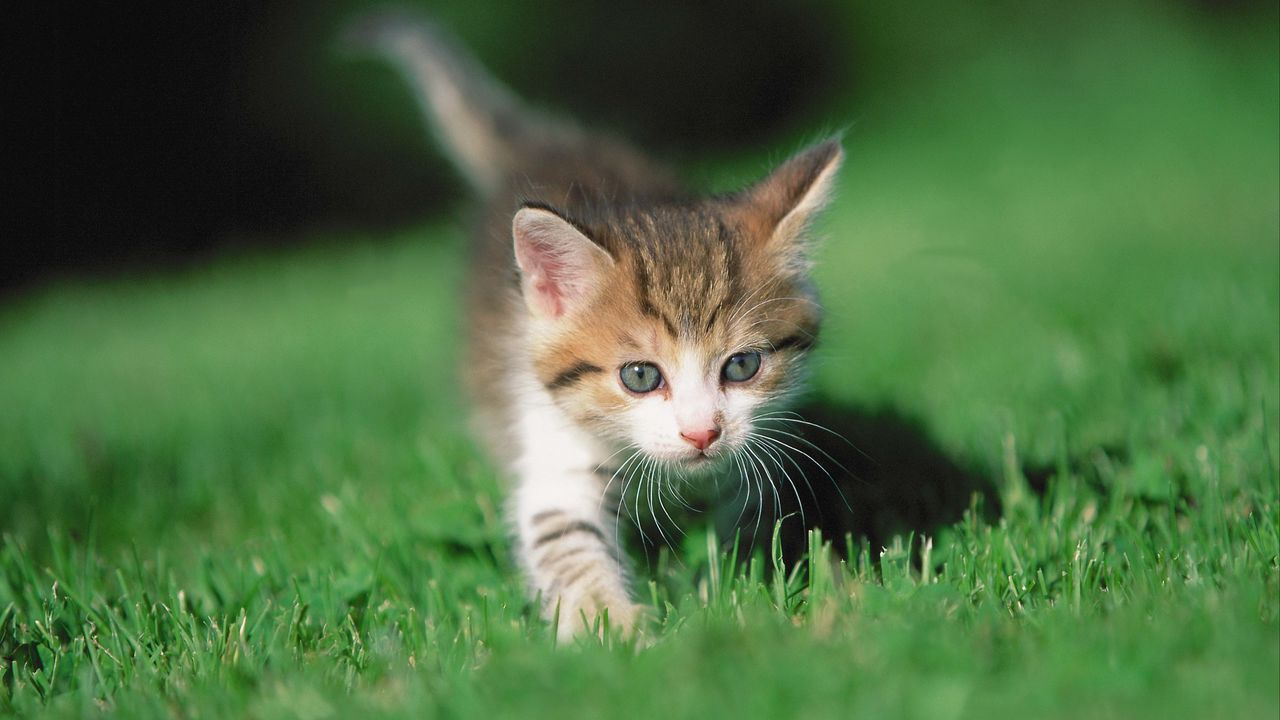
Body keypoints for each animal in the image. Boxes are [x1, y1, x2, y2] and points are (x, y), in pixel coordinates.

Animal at [355, 12, 844, 638]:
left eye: (742, 365)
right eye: (639, 376)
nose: (701, 434)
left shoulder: (746, 457)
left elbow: (742, 522)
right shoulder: (552, 451)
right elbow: (566, 540)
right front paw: (611, 626)